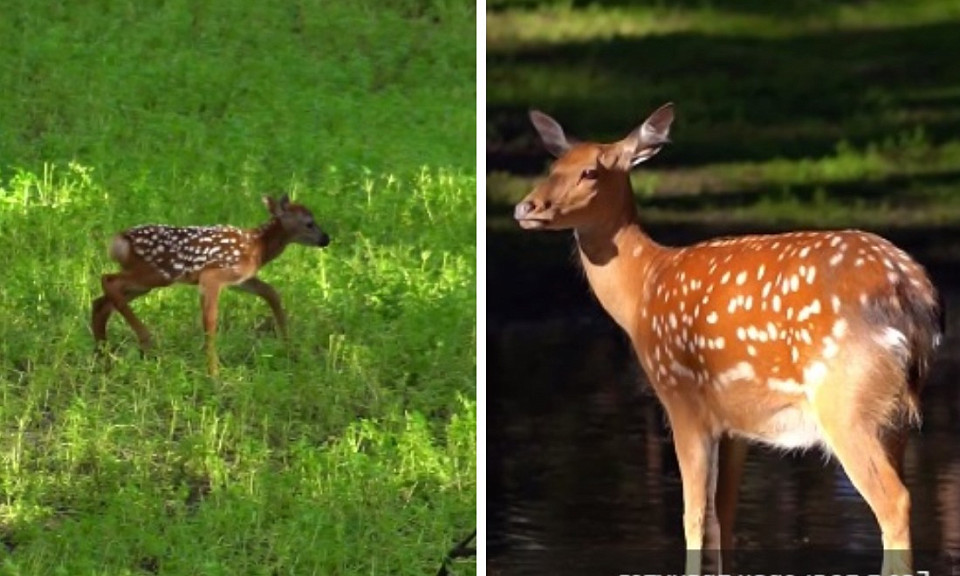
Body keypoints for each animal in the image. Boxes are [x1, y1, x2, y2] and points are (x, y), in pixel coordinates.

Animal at [92, 194, 330, 376]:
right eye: (309, 222)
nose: (326, 239)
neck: (257, 247)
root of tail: (119, 240)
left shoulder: (240, 279)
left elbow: (271, 292)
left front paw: (290, 348)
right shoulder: (213, 275)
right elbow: (211, 321)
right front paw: (214, 373)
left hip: (146, 281)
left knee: (101, 302)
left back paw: (103, 358)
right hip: (157, 273)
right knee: (107, 280)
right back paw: (144, 338)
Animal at [512, 104, 940, 576]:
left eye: (590, 171)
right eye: (552, 166)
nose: (525, 207)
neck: (642, 291)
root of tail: (910, 293)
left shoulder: (682, 399)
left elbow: (694, 517)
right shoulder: (736, 422)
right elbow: (725, 517)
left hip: (845, 402)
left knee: (895, 502)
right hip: (896, 413)